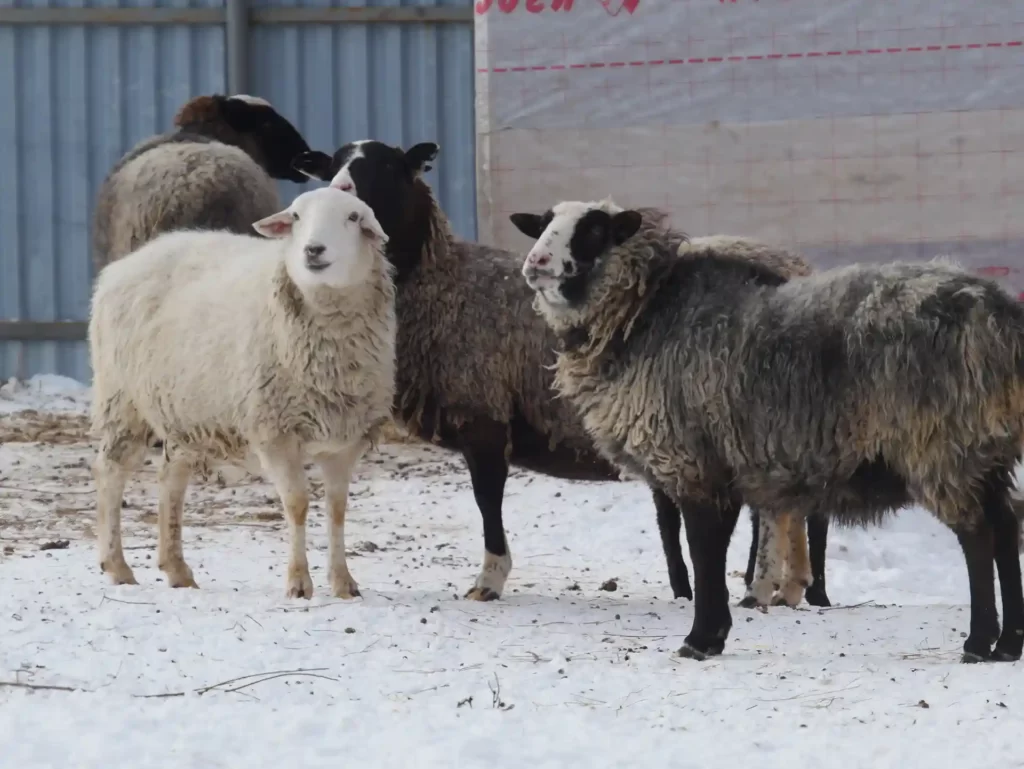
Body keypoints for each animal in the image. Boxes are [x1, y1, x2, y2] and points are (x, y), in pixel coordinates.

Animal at [88, 187, 396, 600]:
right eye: (296, 217)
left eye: (352, 217)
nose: (313, 250)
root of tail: (121, 267)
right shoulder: (274, 431)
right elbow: (297, 504)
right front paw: (299, 582)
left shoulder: (345, 440)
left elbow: (337, 509)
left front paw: (344, 582)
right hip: (123, 399)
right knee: (111, 471)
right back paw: (117, 565)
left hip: (184, 408)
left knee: (171, 478)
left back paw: (177, 569)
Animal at [290, 141, 823, 607]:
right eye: (333, 163)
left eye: (386, 165)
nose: (340, 191)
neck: (444, 283)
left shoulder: (484, 411)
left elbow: (487, 500)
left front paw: (489, 580)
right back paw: (787, 587)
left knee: (775, 513)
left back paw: (765, 588)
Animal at [511, 196, 1024, 664]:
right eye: (544, 222)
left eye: (595, 229)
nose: (536, 263)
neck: (643, 315)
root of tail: (1001, 317)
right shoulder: (719, 467)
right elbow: (712, 551)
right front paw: (714, 635)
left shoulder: (692, 464)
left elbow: (704, 553)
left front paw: (699, 640)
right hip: (985, 447)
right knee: (1006, 527)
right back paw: (1008, 646)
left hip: (942, 445)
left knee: (978, 536)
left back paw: (978, 643)